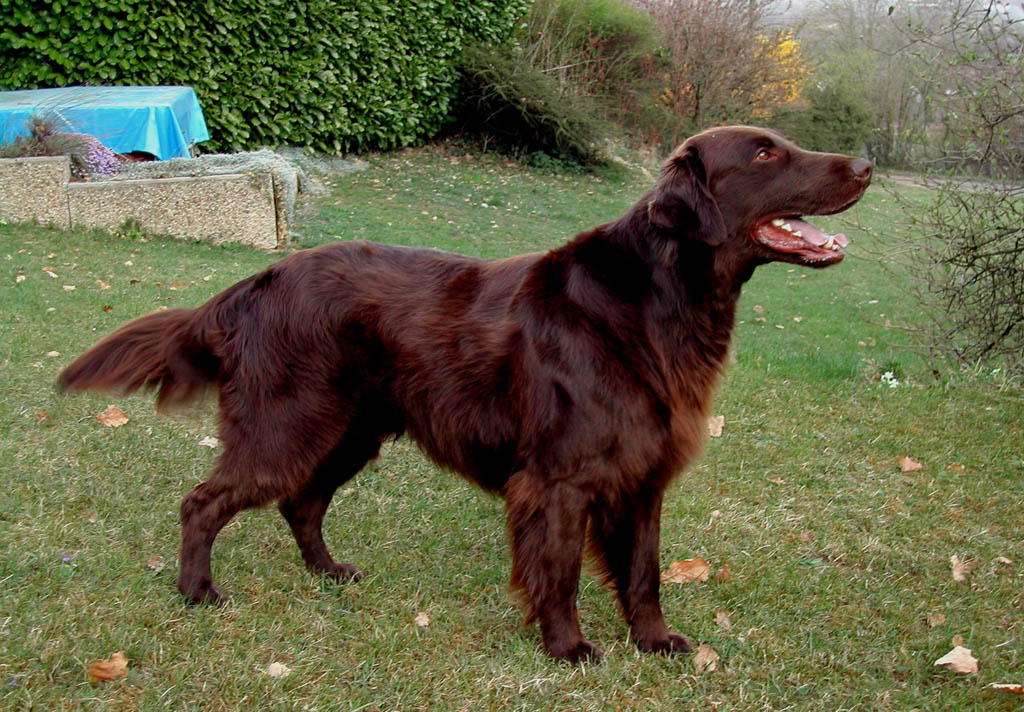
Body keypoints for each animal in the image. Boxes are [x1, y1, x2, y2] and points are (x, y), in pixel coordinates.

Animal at [59, 126, 868, 663]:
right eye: (764, 155)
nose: (864, 164)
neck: (656, 301)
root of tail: (252, 283)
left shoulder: (643, 477)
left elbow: (644, 572)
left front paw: (655, 640)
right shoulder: (560, 479)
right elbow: (561, 573)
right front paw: (568, 648)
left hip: (348, 430)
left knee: (301, 503)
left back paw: (328, 573)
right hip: (286, 426)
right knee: (205, 502)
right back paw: (197, 591)